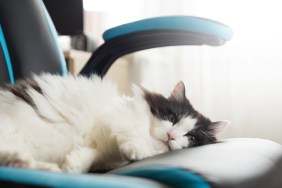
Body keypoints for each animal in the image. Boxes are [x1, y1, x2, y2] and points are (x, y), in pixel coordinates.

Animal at [0, 74, 229, 173]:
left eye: (190, 137)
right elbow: (129, 134)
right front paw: (136, 150)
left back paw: (35, 165)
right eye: (172, 119)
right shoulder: (114, 117)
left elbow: (90, 156)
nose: (171, 136)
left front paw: (72, 165)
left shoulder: (103, 153)